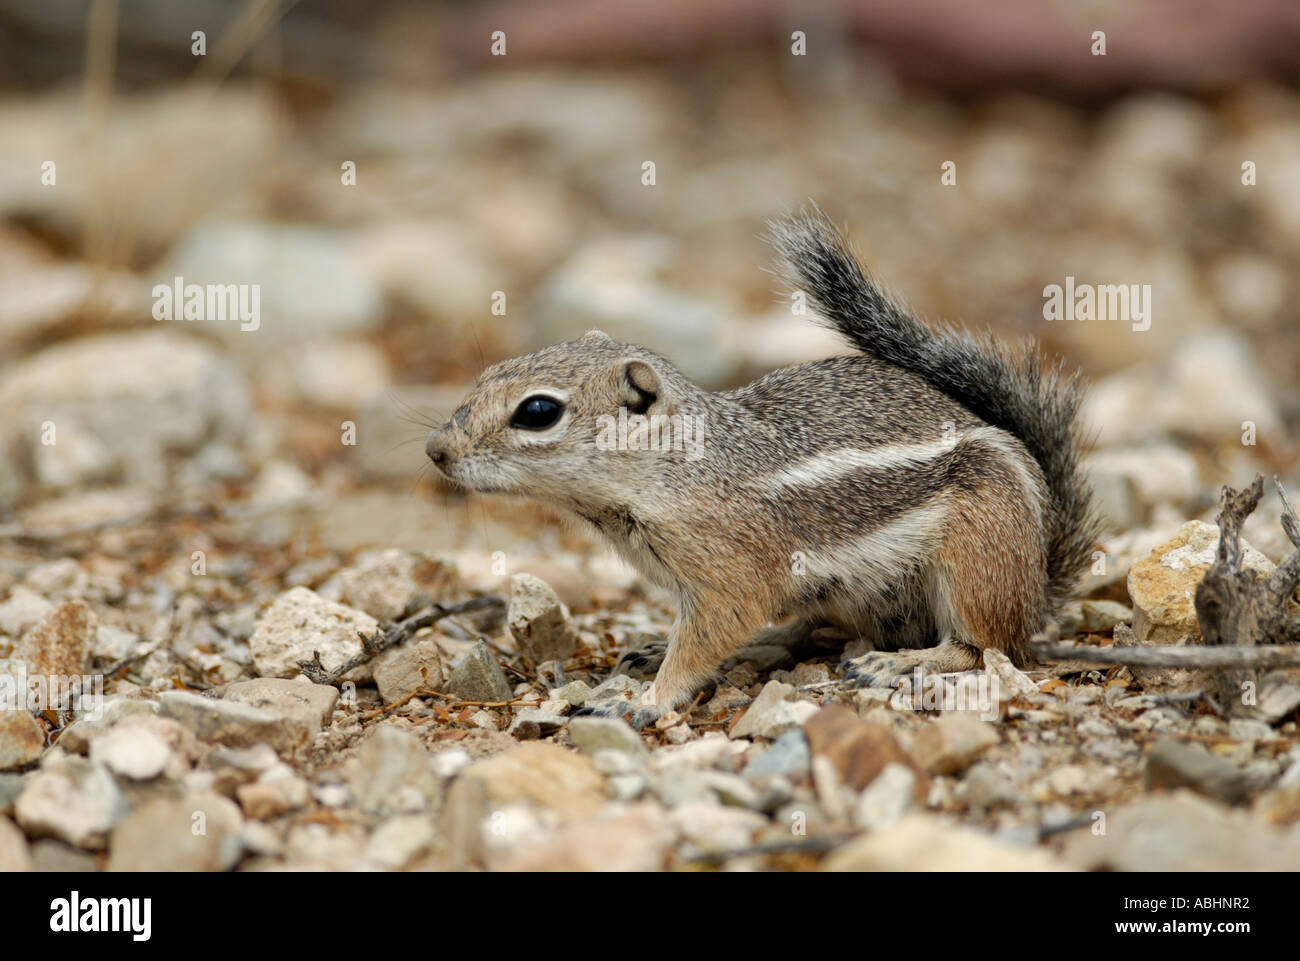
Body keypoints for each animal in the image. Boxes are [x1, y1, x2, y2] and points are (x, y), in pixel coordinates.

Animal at [423, 206, 1097, 712]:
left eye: (538, 411)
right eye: (488, 372)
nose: (437, 452)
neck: (674, 468)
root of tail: (1038, 581)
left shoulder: (731, 572)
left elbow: (712, 631)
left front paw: (648, 699)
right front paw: (656, 664)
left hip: (976, 557)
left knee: (983, 648)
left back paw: (900, 663)